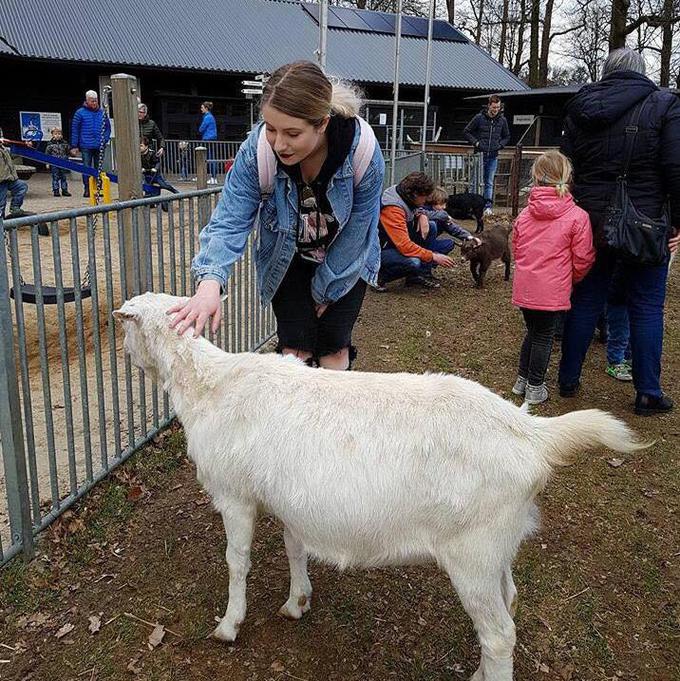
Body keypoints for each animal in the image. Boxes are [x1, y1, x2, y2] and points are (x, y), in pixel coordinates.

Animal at [114, 292, 644, 680]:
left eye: (125, 326)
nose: (122, 353)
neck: (209, 385)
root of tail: (530, 433)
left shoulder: (236, 495)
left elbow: (237, 561)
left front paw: (229, 625)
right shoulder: (289, 498)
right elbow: (294, 546)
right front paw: (297, 602)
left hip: (471, 551)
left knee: (499, 634)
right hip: (498, 543)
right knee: (509, 602)